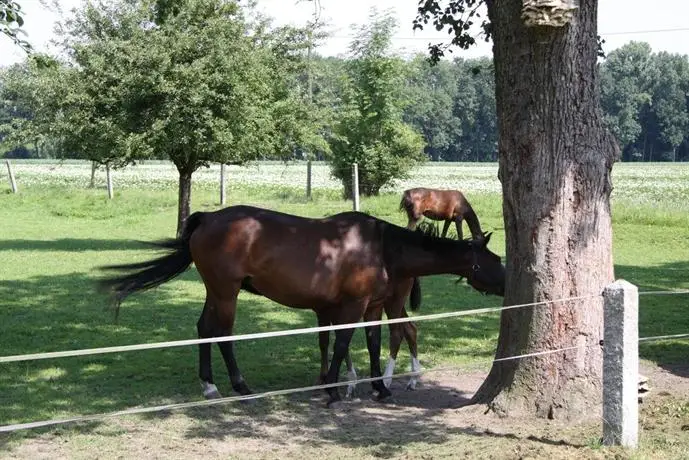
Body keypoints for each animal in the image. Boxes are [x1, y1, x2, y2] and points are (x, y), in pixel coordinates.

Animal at [98, 205, 506, 406]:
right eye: (495, 259)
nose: (509, 284)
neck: (381, 247)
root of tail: (207, 218)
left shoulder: (373, 306)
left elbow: (373, 343)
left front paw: (380, 388)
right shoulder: (353, 305)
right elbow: (341, 344)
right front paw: (333, 390)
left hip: (215, 291)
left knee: (203, 330)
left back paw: (209, 386)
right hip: (227, 293)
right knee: (222, 334)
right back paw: (239, 386)